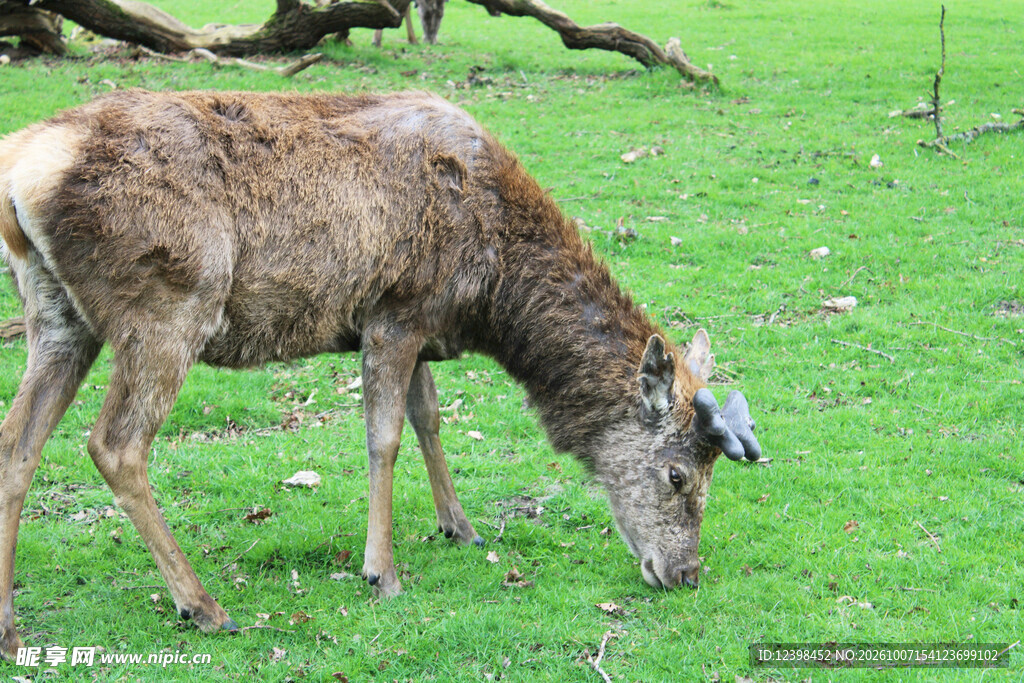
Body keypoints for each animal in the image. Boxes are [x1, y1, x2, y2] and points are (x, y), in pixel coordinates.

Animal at [0, 89, 761, 656]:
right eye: (678, 474)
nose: (685, 573)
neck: (491, 293)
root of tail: (21, 169)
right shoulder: (394, 312)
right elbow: (385, 437)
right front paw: (381, 571)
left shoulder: (420, 326)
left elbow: (430, 418)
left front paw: (461, 526)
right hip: (169, 306)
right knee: (114, 444)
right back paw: (203, 604)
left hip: (55, 314)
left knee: (18, 442)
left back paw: (10, 624)